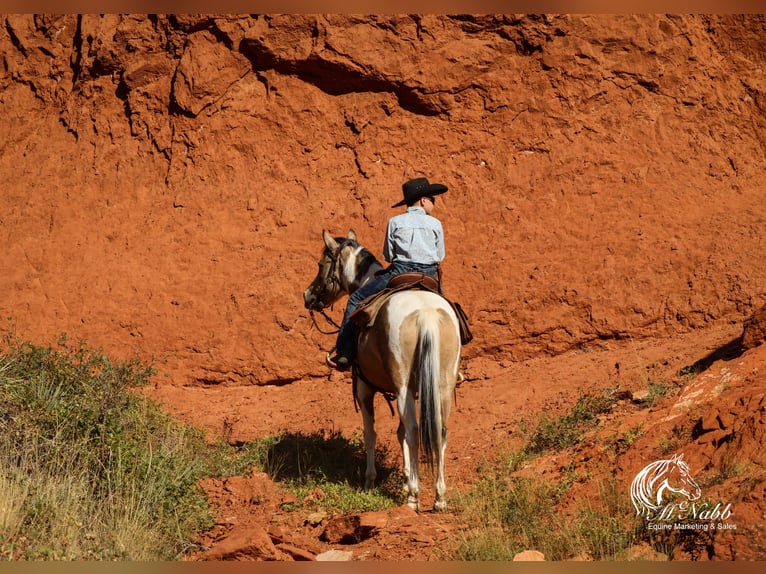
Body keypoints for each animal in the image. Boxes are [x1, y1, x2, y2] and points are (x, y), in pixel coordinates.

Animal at [304, 230, 462, 512]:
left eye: (321, 265)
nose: (308, 296)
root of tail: (425, 313)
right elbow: (399, 433)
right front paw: (405, 477)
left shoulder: (364, 387)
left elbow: (371, 434)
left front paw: (370, 481)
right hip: (442, 385)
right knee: (439, 430)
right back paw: (439, 497)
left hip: (402, 388)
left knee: (413, 430)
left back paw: (414, 497)